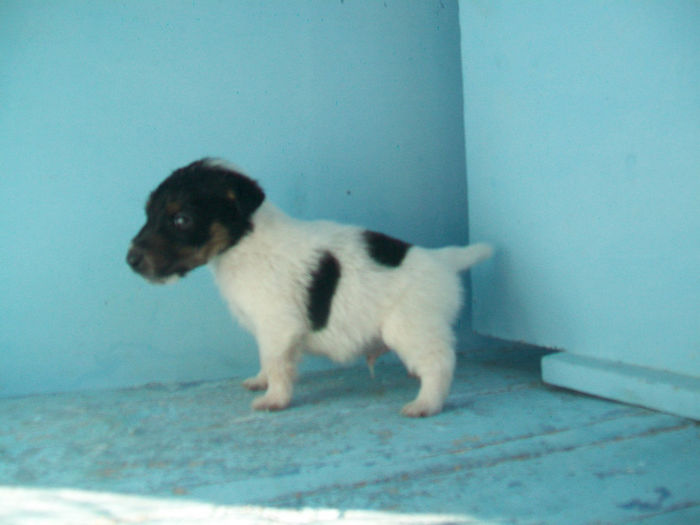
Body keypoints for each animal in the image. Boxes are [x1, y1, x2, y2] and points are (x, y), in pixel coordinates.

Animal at [129, 158, 494, 416]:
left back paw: (426, 404)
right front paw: (260, 381)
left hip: (411, 328)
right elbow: (267, 362)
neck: (243, 243)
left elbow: (277, 365)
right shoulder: (268, 332)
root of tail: (443, 261)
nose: (130, 260)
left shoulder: (278, 328)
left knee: (439, 364)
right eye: (148, 213)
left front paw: (274, 399)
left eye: (181, 219)